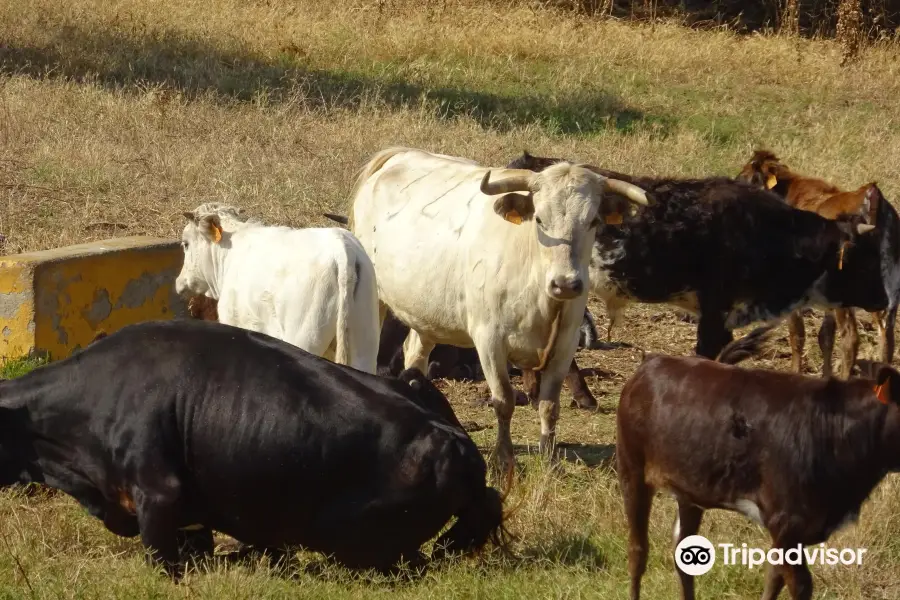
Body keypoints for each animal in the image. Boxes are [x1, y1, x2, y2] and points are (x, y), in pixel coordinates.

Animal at [344, 148, 648, 472]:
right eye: (539, 219)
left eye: (592, 222)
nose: (565, 284)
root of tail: (398, 155)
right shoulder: (489, 341)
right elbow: (504, 400)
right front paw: (503, 458)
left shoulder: (565, 344)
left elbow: (549, 404)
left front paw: (550, 458)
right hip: (375, 300)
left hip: (426, 313)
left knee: (415, 353)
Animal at [616, 328, 900, 600]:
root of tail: (652, 361)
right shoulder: (786, 522)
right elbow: (800, 586)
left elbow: (774, 577)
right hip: (632, 469)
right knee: (637, 551)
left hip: (690, 488)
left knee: (682, 550)